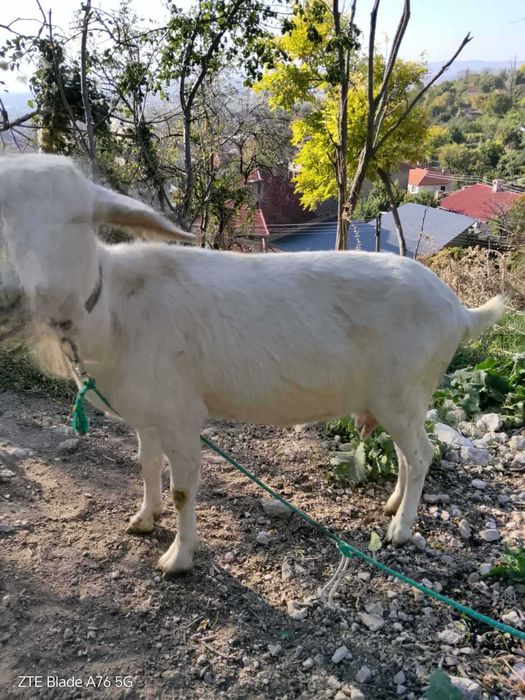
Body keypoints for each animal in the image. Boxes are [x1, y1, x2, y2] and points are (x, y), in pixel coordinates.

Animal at [0, 154, 505, 575]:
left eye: (78, 219)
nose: (28, 291)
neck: (113, 308)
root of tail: (458, 310)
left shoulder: (181, 415)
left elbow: (182, 489)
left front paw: (177, 558)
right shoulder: (148, 411)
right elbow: (145, 464)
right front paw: (144, 518)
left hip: (401, 391)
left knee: (421, 455)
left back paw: (400, 529)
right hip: (402, 398)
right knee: (407, 454)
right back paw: (394, 505)